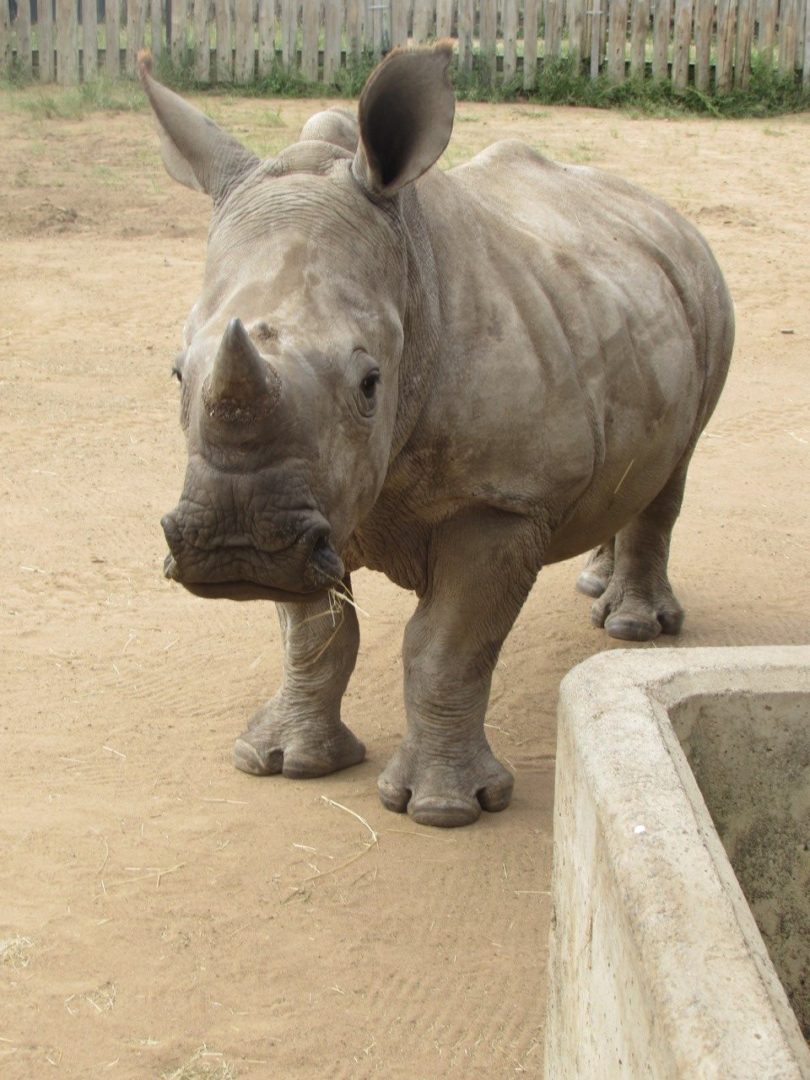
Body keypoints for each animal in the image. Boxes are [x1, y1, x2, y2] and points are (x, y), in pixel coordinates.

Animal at [139, 45, 733, 827]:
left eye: (370, 383)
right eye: (178, 373)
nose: (234, 550)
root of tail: (662, 209)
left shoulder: (500, 498)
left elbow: (445, 648)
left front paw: (445, 809)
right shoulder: (303, 504)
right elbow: (315, 634)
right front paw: (287, 763)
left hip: (709, 289)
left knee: (676, 464)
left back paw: (632, 629)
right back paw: (594, 583)